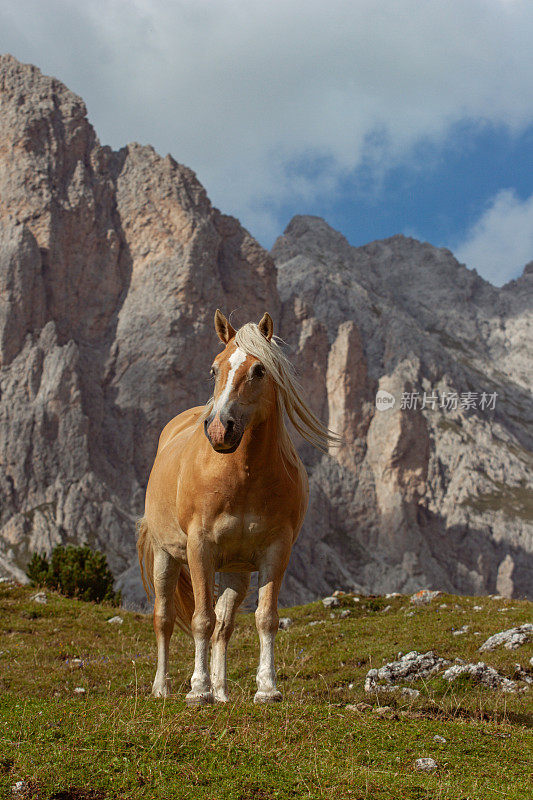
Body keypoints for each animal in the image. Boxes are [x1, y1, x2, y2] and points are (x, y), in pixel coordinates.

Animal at [137, 310, 336, 704]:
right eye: (215, 368)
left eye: (259, 370)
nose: (219, 429)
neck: (242, 478)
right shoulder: (200, 548)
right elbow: (200, 619)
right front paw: (197, 691)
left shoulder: (276, 550)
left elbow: (265, 618)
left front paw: (267, 688)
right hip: (167, 558)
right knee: (165, 618)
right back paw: (163, 687)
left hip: (236, 571)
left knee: (224, 625)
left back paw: (223, 692)